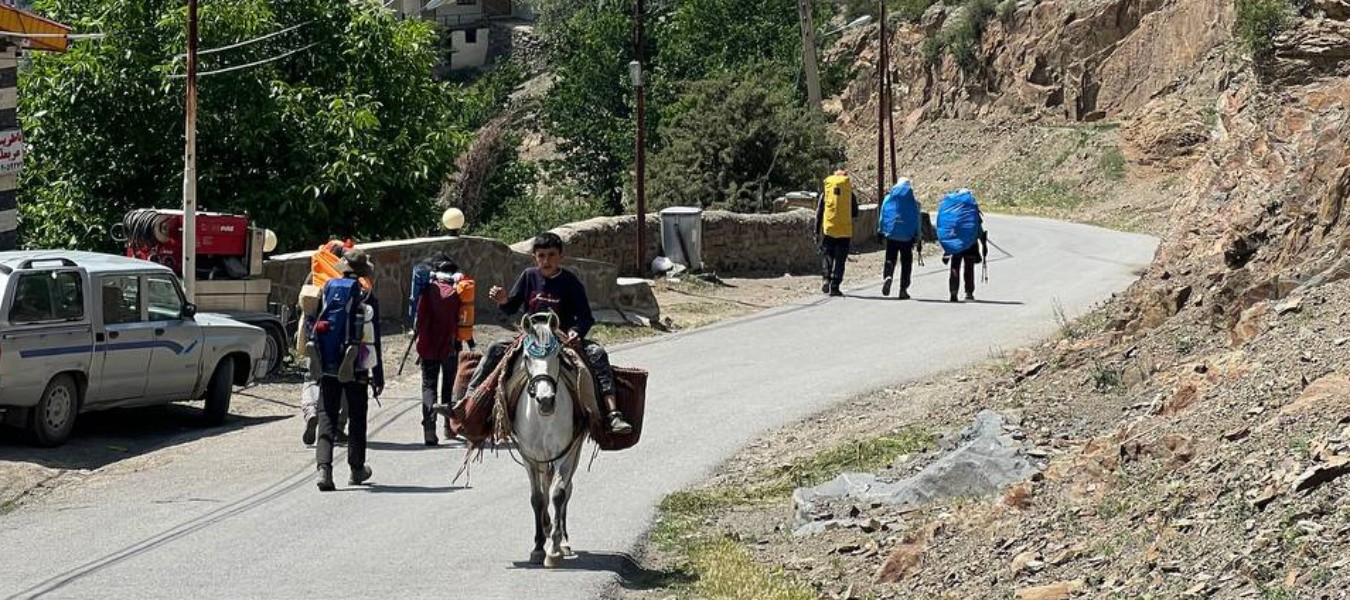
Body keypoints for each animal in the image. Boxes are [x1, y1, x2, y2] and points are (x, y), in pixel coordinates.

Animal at [507, 312, 588, 570]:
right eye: (526, 357)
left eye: (558, 355)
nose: (545, 400)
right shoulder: (530, 456)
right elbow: (537, 498)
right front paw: (537, 547)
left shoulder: (567, 452)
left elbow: (558, 494)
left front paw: (553, 550)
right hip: (543, 458)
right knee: (544, 486)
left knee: (566, 489)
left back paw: (563, 541)